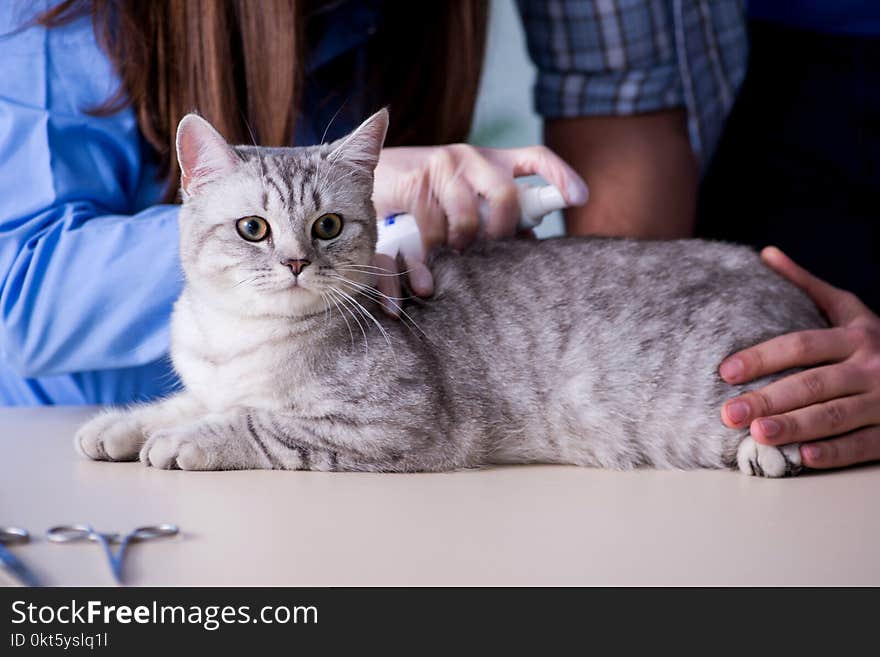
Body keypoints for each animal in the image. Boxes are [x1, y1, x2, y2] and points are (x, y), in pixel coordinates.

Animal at [74, 107, 824, 476]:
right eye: (253, 228)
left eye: (327, 225)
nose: (294, 262)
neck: (237, 340)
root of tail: (788, 288)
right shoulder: (209, 379)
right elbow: (185, 400)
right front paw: (120, 425)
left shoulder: (393, 422)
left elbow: (256, 423)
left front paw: (186, 440)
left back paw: (767, 452)